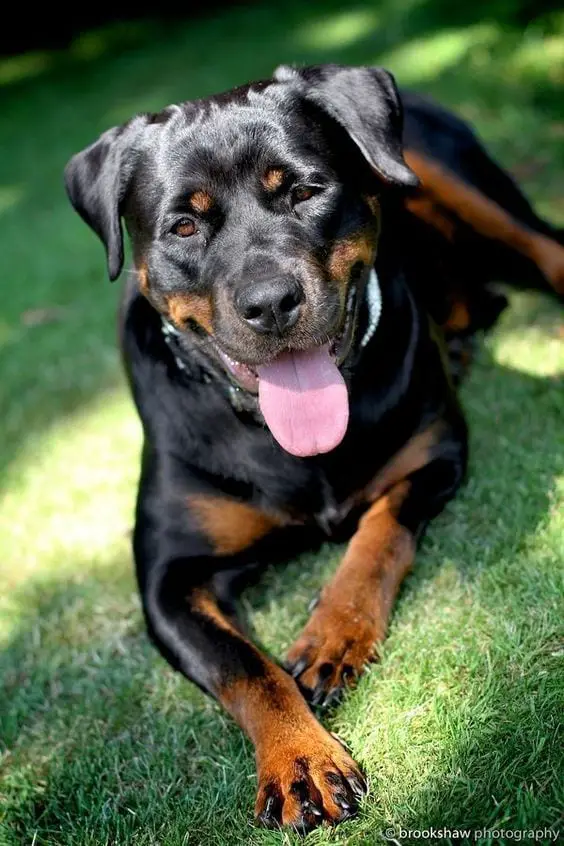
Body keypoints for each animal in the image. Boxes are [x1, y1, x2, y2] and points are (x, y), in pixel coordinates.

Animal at [62, 66, 564, 836]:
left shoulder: (435, 454)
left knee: (546, 248)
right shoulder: (168, 578)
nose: (270, 301)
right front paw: (300, 759)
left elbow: (377, 539)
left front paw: (332, 637)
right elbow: (246, 668)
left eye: (304, 191)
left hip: (450, 174)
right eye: (184, 225)